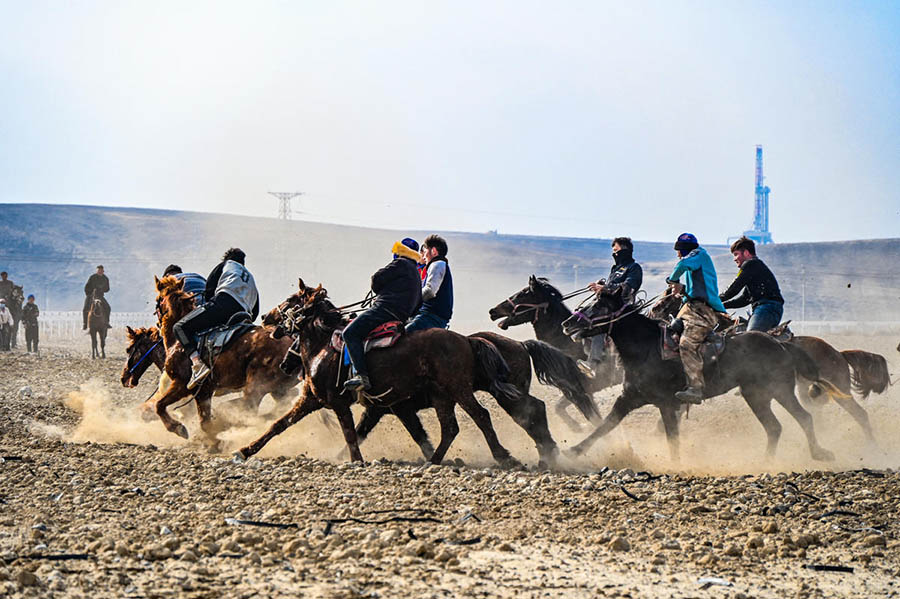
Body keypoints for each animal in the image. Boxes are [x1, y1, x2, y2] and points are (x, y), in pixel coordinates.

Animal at [149, 276, 300, 446]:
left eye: (158, 299)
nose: (157, 324)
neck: (177, 342)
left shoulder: (182, 384)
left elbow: (159, 405)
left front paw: (178, 428)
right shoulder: (204, 391)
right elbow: (204, 421)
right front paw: (213, 442)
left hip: (256, 387)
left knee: (247, 409)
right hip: (277, 389)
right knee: (280, 406)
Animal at [488, 276, 616, 426]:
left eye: (522, 294)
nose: (492, 311)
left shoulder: (580, 390)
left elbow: (593, 418)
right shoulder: (579, 391)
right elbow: (560, 408)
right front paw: (577, 427)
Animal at [560, 290, 832, 464]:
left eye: (600, 305)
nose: (568, 323)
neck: (648, 348)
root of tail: (781, 344)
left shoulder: (666, 404)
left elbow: (672, 438)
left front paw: (676, 465)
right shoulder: (629, 398)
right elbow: (606, 424)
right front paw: (574, 450)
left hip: (778, 390)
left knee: (801, 418)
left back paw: (818, 454)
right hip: (758, 395)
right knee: (778, 426)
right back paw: (768, 462)